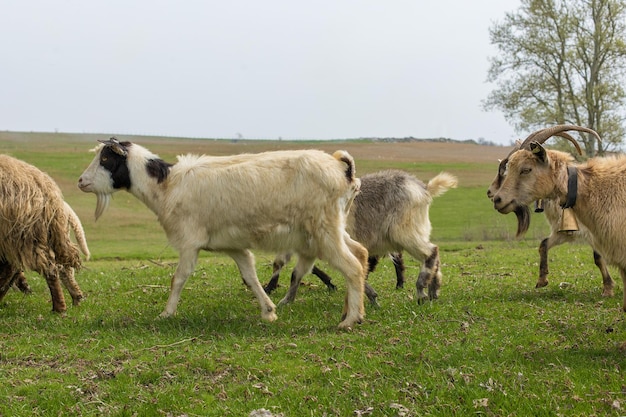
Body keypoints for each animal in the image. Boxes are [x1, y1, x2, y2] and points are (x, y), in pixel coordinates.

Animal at [80, 139, 368, 328]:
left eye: (105, 159)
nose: (81, 181)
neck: (167, 186)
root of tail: (343, 170)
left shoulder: (189, 241)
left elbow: (178, 278)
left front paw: (166, 313)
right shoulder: (233, 246)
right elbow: (250, 276)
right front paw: (268, 311)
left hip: (324, 230)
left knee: (352, 267)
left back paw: (350, 320)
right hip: (332, 227)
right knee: (361, 253)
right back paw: (351, 311)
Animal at [492, 143, 624, 312]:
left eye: (526, 169)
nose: (497, 199)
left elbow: (598, 258)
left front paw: (607, 289)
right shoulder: (564, 232)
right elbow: (544, 244)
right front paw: (542, 279)